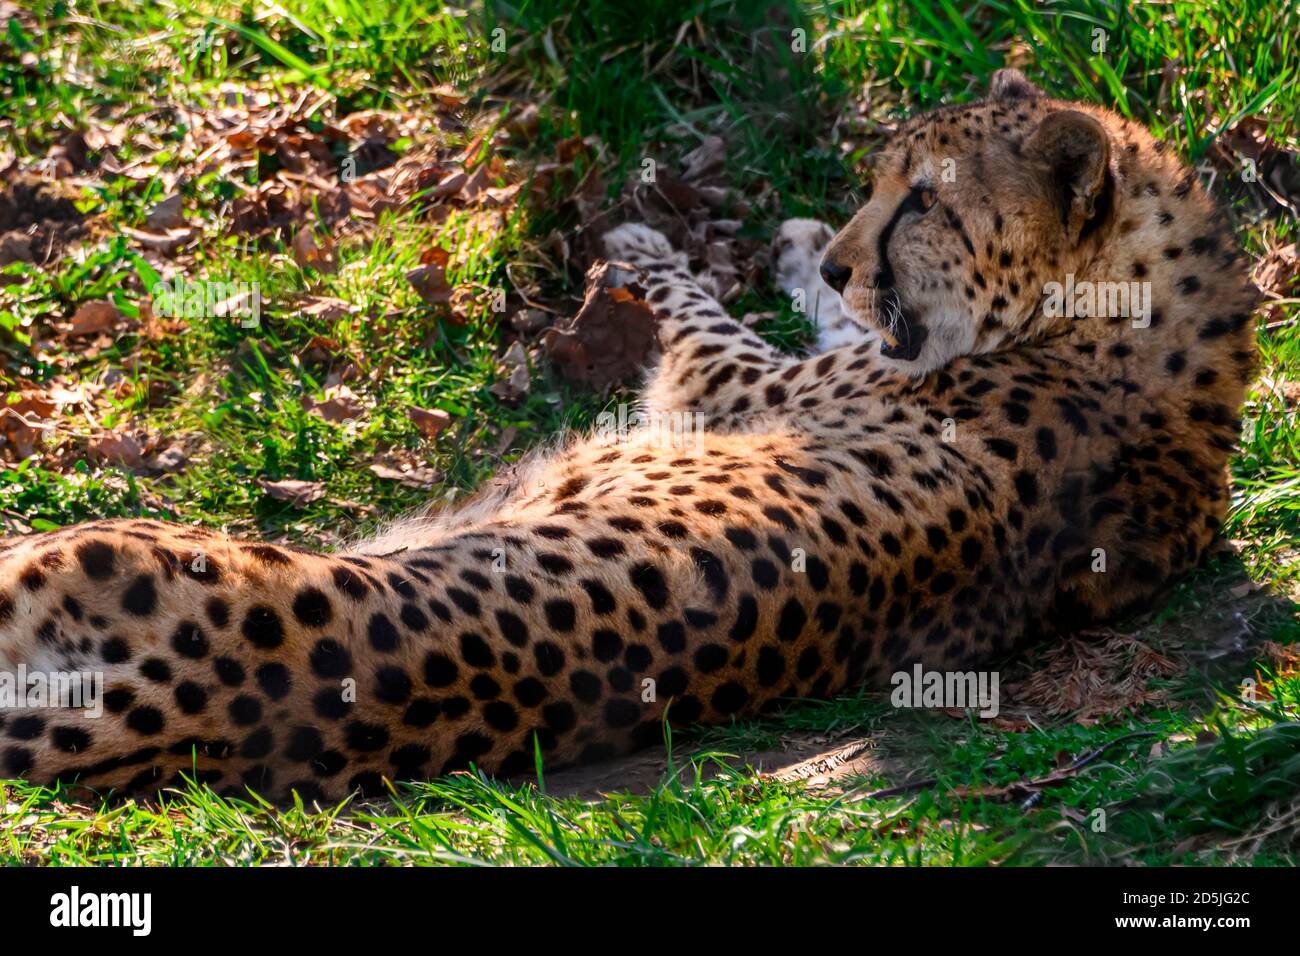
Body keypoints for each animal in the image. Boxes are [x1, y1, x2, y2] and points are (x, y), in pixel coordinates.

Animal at [0, 70, 1258, 801]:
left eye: (926, 202)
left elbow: (700, 314)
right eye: (882, 182)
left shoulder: (728, 382)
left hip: (77, 548)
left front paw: (676, 247)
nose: (846, 258)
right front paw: (795, 246)